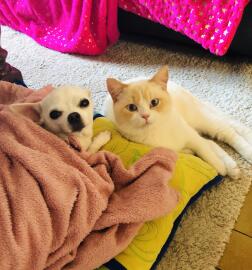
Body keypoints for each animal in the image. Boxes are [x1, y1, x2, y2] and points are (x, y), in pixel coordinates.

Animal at [102, 66, 252, 179]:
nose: (145, 116)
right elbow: (204, 147)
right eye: (132, 108)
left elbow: (205, 151)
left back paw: (247, 153)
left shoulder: (191, 136)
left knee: (229, 133)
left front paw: (219, 166)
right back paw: (231, 166)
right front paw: (223, 165)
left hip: (201, 120)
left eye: (154, 102)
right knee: (211, 142)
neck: (157, 130)